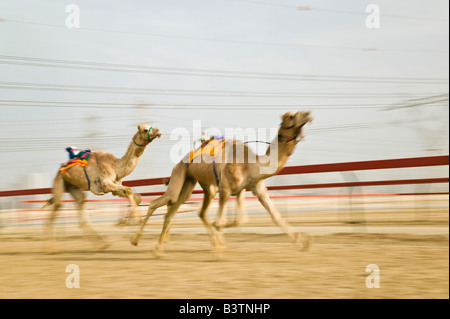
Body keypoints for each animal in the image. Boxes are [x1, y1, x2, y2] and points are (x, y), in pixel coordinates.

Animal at [130, 111, 312, 256]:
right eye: (292, 116)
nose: (309, 114)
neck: (251, 163)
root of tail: (181, 161)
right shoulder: (225, 188)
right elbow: (225, 220)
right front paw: (219, 248)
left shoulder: (250, 188)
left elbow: (260, 218)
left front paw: (303, 241)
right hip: (180, 175)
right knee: (158, 202)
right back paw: (136, 241)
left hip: (197, 184)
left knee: (183, 211)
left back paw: (159, 248)